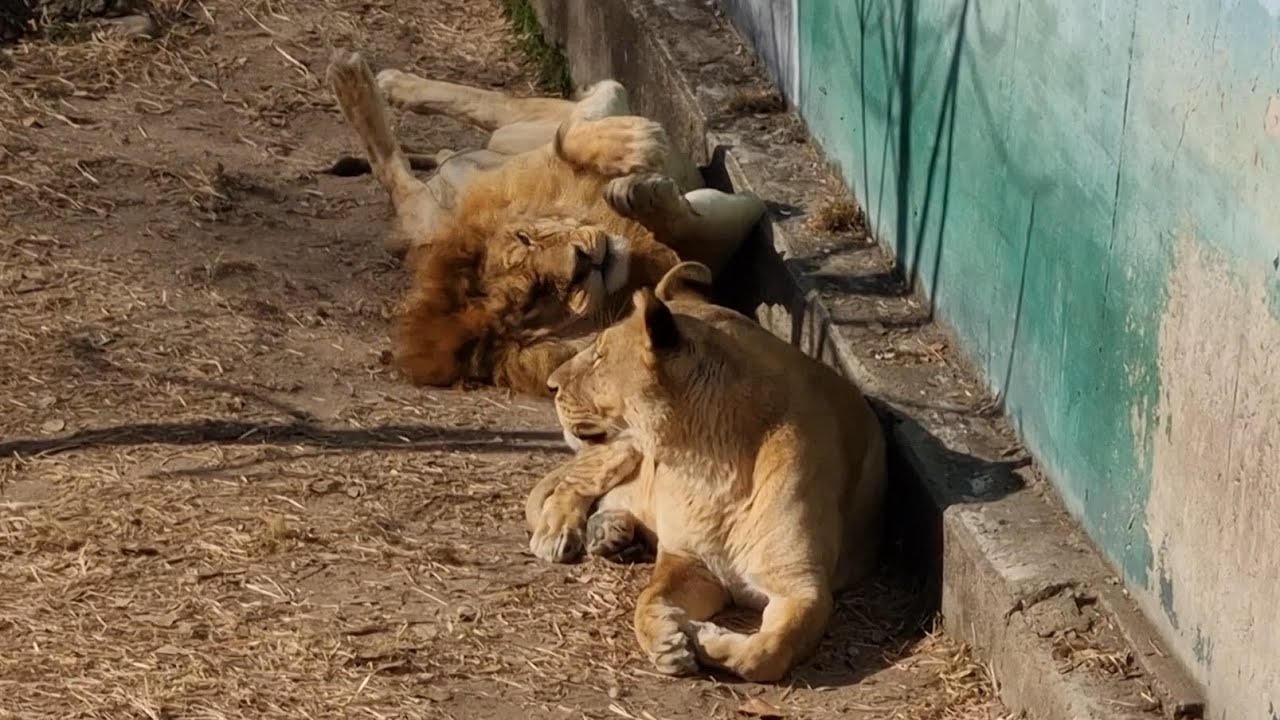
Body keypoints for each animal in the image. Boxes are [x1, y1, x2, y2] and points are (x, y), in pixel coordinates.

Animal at [325, 50, 767, 395]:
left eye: (527, 238)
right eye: (536, 300)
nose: (583, 261)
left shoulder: (592, 113)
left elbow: (571, 132)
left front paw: (633, 145)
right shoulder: (727, 228)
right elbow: (683, 229)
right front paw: (640, 191)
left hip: (477, 178)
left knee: (489, 108)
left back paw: (381, 81)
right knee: (398, 177)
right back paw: (355, 79)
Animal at [526, 261, 888, 683]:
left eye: (599, 355)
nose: (550, 384)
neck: (709, 466)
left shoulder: (802, 585)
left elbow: (768, 652)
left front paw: (706, 639)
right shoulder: (691, 561)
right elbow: (647, 601)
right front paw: (667, 643)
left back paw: (610, 532)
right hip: (621, 448)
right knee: (573, 485)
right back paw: (559, 533)